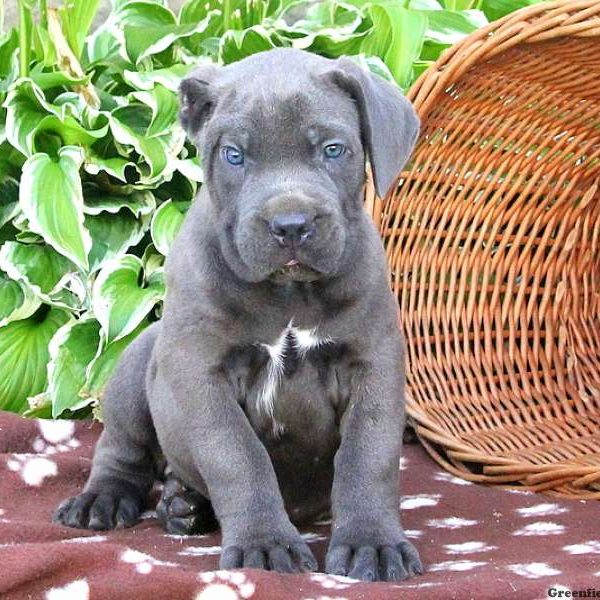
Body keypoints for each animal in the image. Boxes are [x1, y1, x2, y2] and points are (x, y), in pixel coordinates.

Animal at [55, 49, 422, 584]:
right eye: (233, 155)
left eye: (333, 149)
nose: (291, 225)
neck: (289, 292)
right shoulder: (201, 373)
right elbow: (238, 457)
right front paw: (264, 545)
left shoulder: (372, 364)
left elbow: (367, 458)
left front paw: (371, 544)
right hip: (138, 362)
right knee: (120, 450)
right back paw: (105, 501)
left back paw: (182, 506)